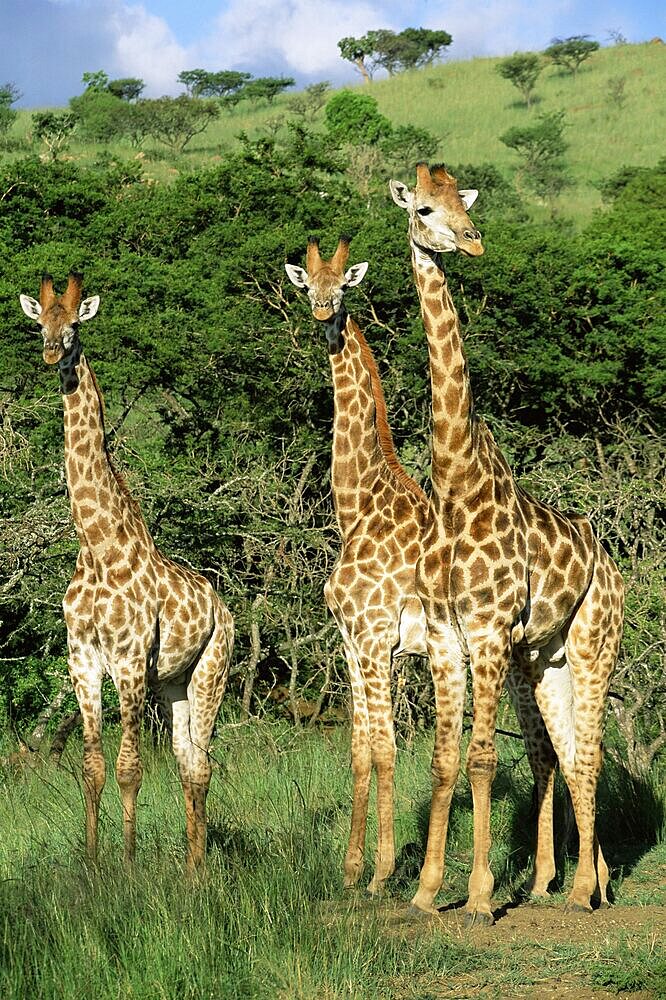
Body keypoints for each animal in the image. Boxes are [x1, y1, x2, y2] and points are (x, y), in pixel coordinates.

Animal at [19, 276, 233, 876]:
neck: (97, 546)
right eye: (39, 321)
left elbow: (129, 767)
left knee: (203, 762)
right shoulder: (83, 659)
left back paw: (198, 873)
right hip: (175, 683)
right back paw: (191, 864)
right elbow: (92, 767)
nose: (52, 353)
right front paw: (94, 865)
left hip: (211, 670)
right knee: (187, 761)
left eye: (74, 325)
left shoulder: (132, 659)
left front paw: (131, 866)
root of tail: (225, 609)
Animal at [284, 236, 560, 900]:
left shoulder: (375, 636)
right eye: (309, 285)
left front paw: (382, 872)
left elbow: (385, 751)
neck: (358, 503)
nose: (323, 311)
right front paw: (352, 869)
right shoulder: (352, 642)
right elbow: (360, 751)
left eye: (343, 286)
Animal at [390, 166, 624, 928]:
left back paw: (580, 893)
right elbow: (443, 761)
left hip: (593, 642)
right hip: (546, 659)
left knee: (590, 756)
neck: (454, 480)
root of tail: (613, 566)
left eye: (464, 203)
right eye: (424, 209)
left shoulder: (489, 630)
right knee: (570, 753)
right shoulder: (444, 635)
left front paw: (481, 897)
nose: (470, 241)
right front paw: (426, 892)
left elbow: (484, 759)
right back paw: (591, 881)